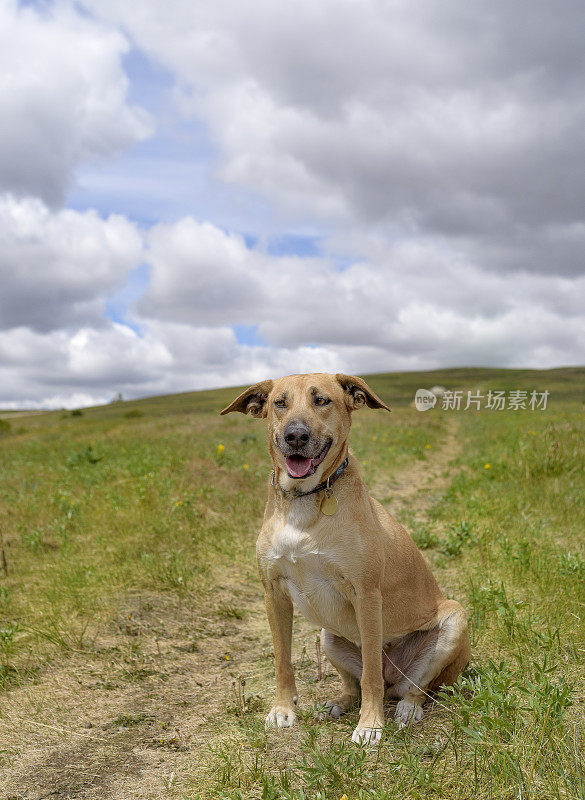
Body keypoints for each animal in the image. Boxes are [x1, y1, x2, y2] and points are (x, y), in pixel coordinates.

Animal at [219, 374, 470, 744]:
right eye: (279, 403)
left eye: (322, 400)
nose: (295, 436)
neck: (304, 500)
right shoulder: (274, 593)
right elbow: (283, 661)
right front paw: (283, 709)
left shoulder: (365, 594)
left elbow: (371, 676)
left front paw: (370, 725)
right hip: (329, 636)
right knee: (353, 686)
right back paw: (336, 703)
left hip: (454, 622)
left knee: (412, 687)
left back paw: (407, 709)